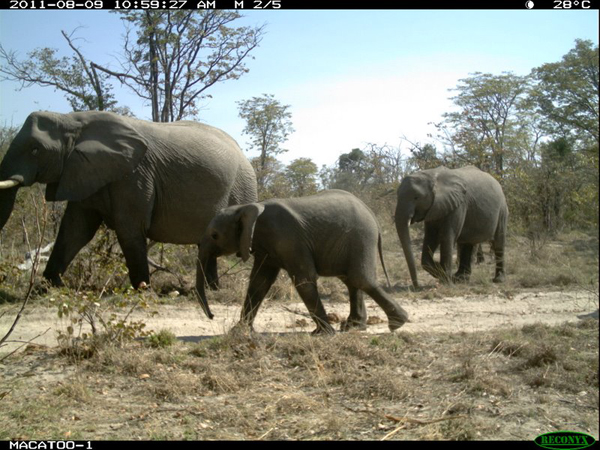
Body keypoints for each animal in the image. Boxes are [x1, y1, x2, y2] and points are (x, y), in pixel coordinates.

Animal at [0, 111, 255, 294]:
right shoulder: (86, 171)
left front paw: (144, 292)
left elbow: (128, 228)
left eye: (35, 150)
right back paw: (211, 291)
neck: (72, 119)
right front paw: (46, 289)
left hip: (241, 188)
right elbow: (75, 229)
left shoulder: (135, 176)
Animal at [196, 189, 408, 334]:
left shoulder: (288, 238)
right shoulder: (267, 246)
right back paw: (353, 328)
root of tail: (371, 214)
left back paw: (397, 324)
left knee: (360, 278)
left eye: (214, 235)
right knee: (351, 280)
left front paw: (322, 334)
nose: (212, 316)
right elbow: (259, 283)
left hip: (361, 237)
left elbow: (304, 280)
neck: (247, 208)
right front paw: (238, 332)